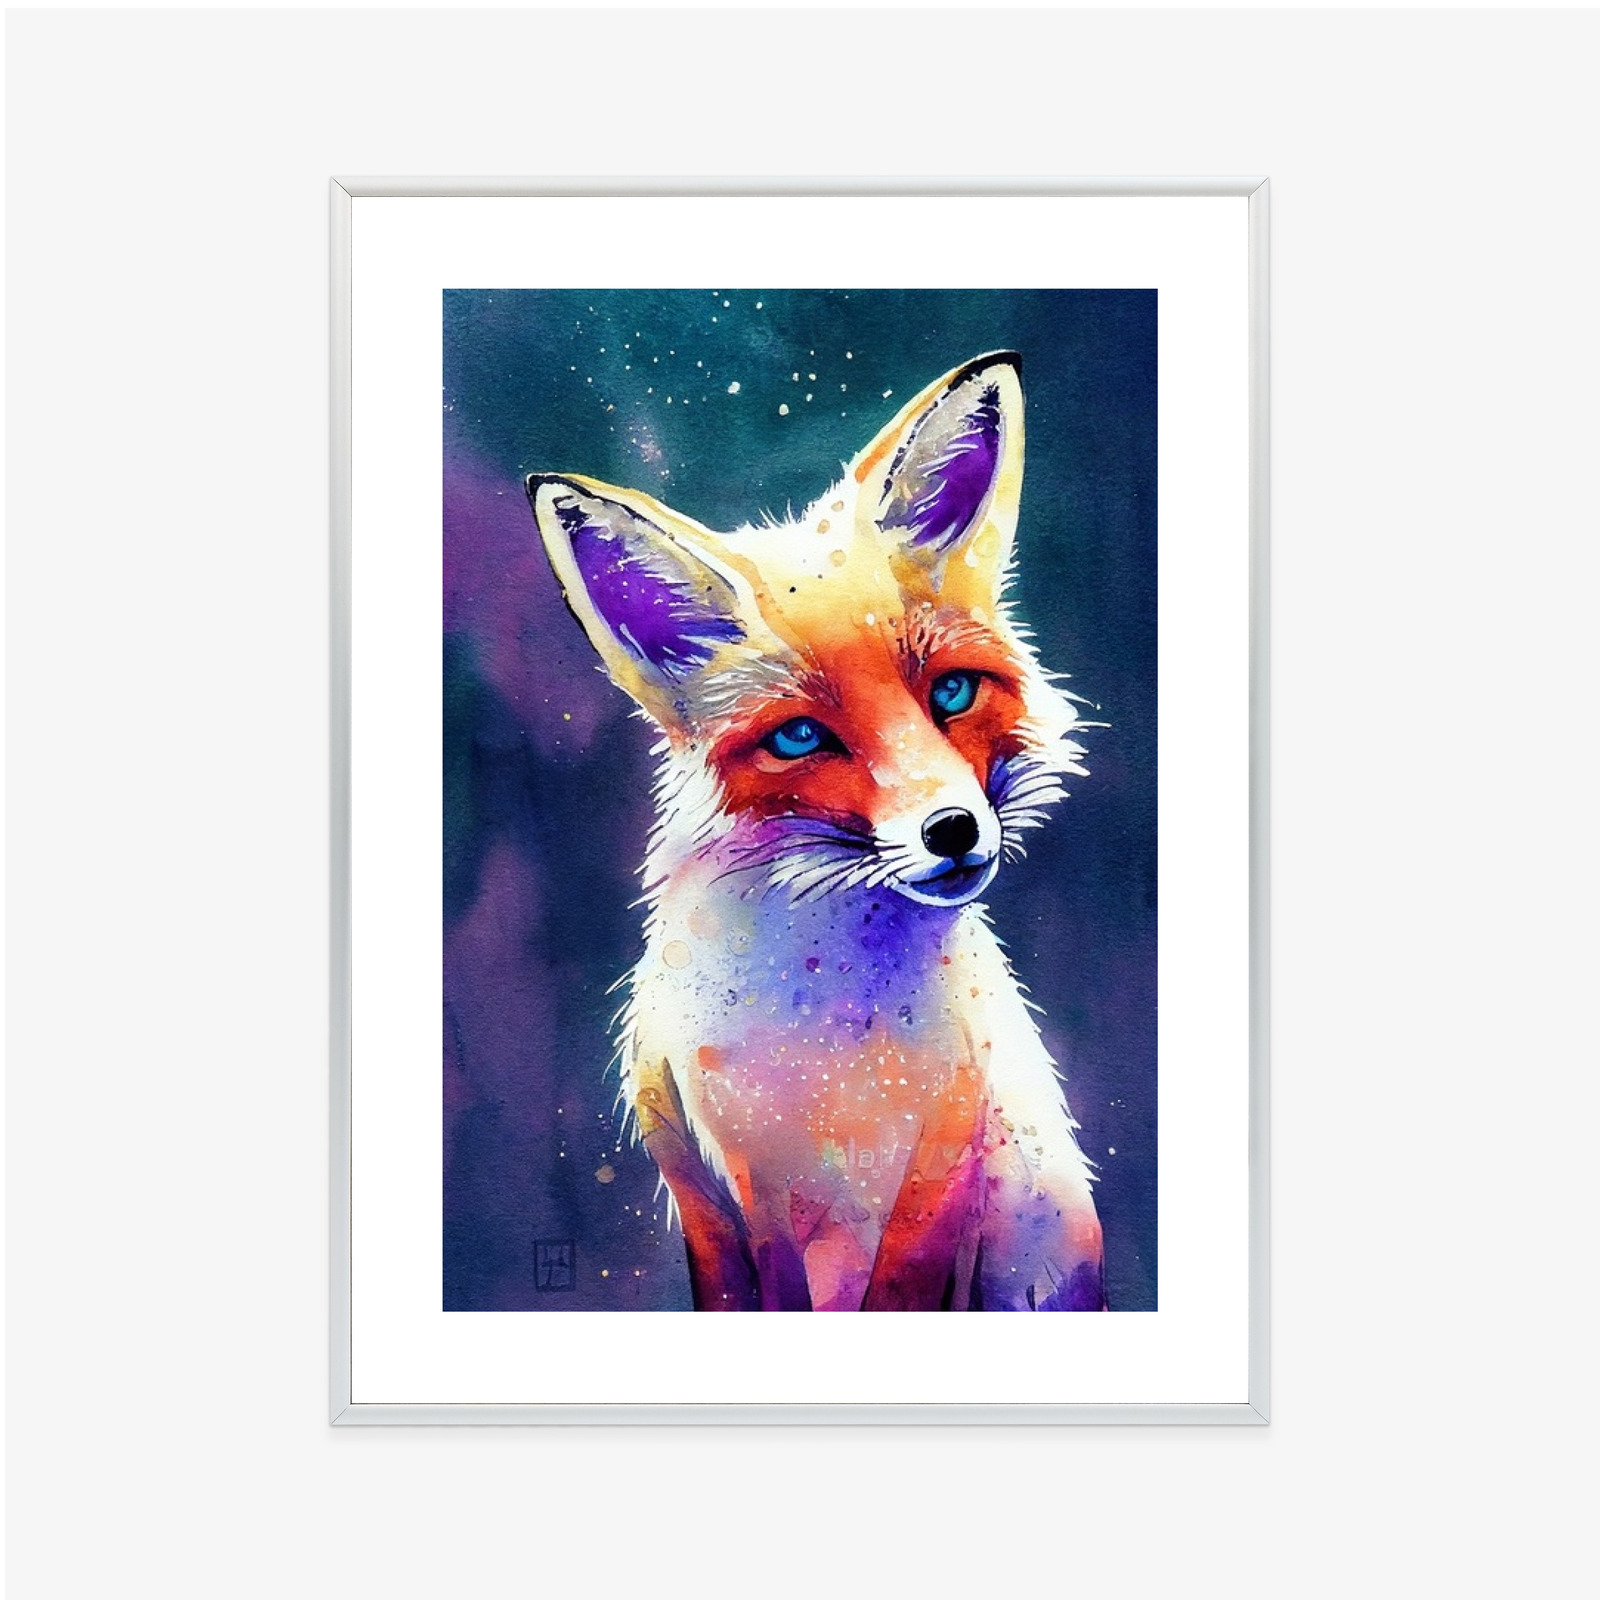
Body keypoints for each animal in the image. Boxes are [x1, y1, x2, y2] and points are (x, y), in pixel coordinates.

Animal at [527, 351, 1106, 1311]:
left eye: (952, 691)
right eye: (800, 737)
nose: (954, 831)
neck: (825, 1052)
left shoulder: (943, 1172)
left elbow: (898, 1290)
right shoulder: (720, 1190)